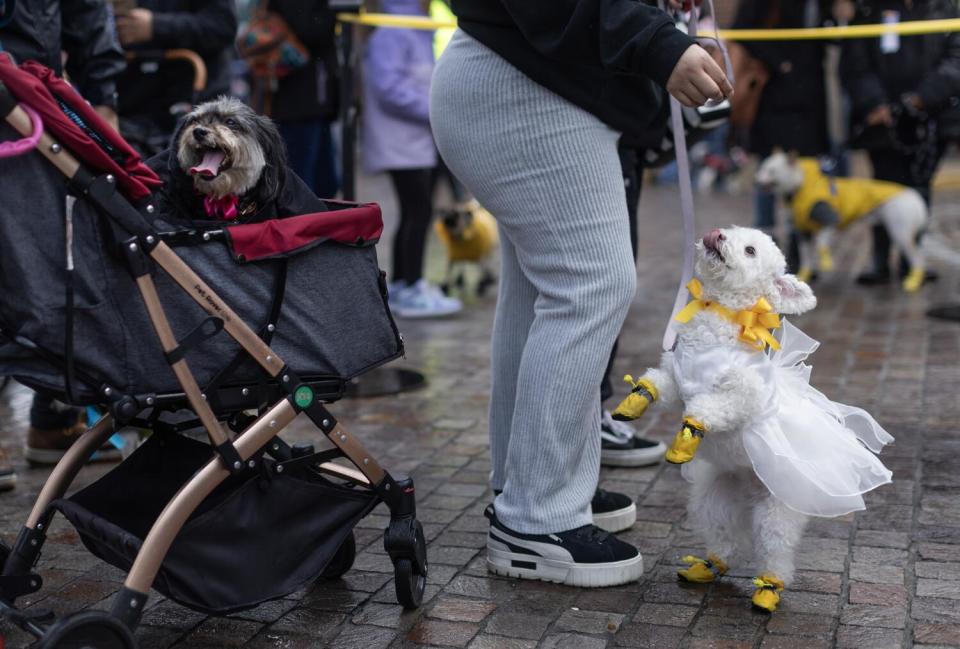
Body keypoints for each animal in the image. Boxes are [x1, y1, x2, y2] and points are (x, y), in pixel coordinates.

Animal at [616, 225, 892, 612]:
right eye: (732, 233)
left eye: (749, 251)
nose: (717, 234)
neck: (720, 323)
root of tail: (749, 491)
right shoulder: (676, 375)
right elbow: (656, 384)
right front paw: (633, 402)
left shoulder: (741, 395)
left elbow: (707, 409)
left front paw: (688, 436)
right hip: (717, 498)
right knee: (725, 538)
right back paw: (707, 566)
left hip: (776, 512)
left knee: (775, 549)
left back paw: (768, 589)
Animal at [752, 151, 928, 290]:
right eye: (762, 168)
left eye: (771, 171)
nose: (757, 182)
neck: (799, 187)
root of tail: (913, 196)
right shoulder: (803, 233)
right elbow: (806, 257)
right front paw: (804, 275)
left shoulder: (831, 220)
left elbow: (822, 243)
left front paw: (826, 261)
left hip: (901, 233)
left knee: (918, 257)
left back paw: (914, 281)